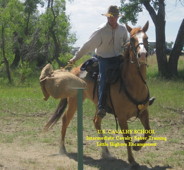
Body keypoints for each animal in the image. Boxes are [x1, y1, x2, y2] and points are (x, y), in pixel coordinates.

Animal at [44, 21, 152, 166]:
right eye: (132, 39)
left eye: (146, 38)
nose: (142, 54)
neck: (132, 84)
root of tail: (73, 71)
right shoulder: (122, 117)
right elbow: (127, 137)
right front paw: (132, 160)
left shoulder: (144, 113)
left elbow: (148, 132)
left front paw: (137, 146)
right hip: (74, 101)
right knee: (66, 119)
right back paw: (62, 148)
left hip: (98, 106)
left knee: (96, 121)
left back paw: (106, 152)